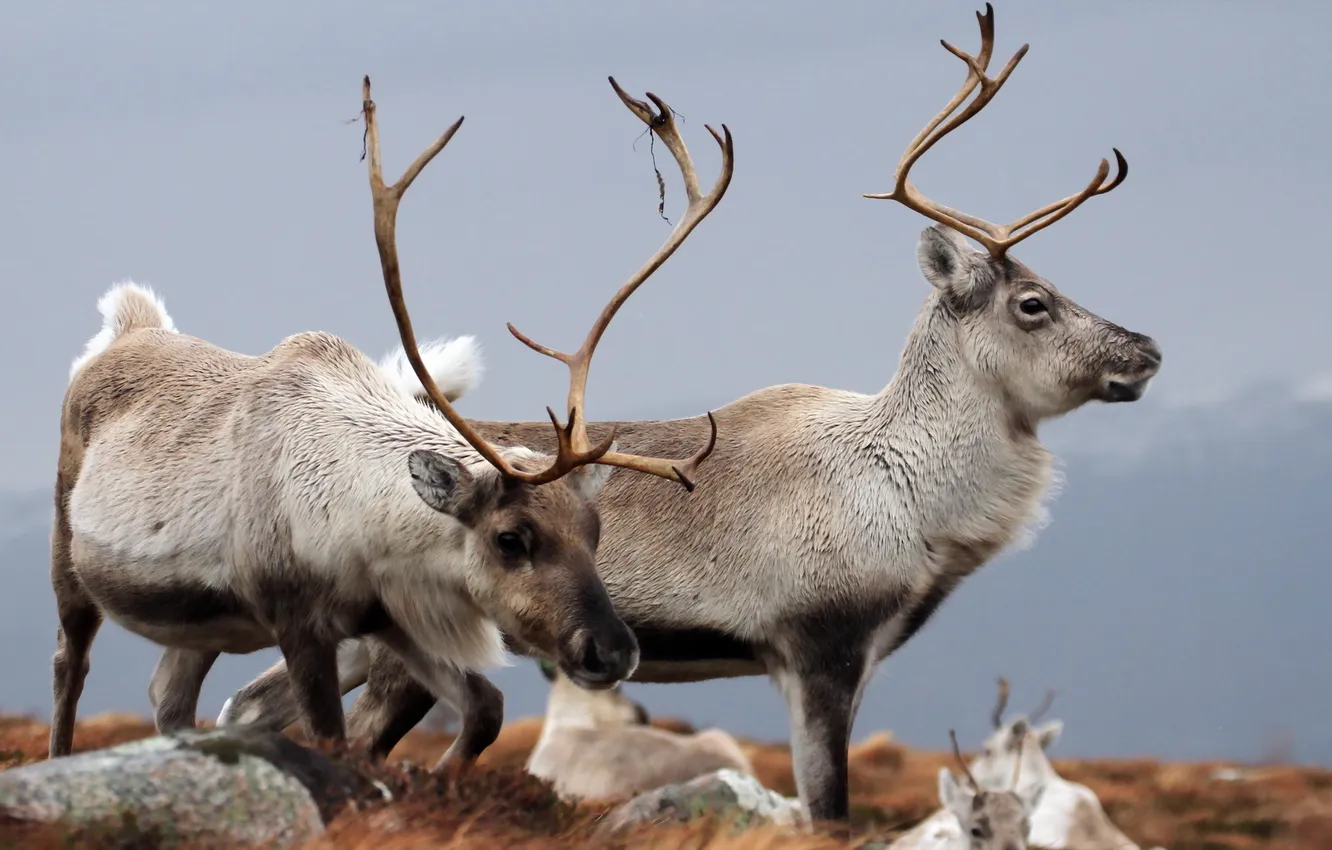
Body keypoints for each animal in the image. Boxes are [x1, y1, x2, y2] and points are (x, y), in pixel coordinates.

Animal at [47, 73, 730, 760]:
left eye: (594, 531)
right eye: (510, 538)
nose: (612, 651)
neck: (355, 521)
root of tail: (127, 326)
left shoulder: (392, 619)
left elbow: (482, 707)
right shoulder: (300, 623)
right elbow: (335, 736)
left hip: (200, 623)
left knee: (169, 695)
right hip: (69, 554)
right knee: (69, 666)